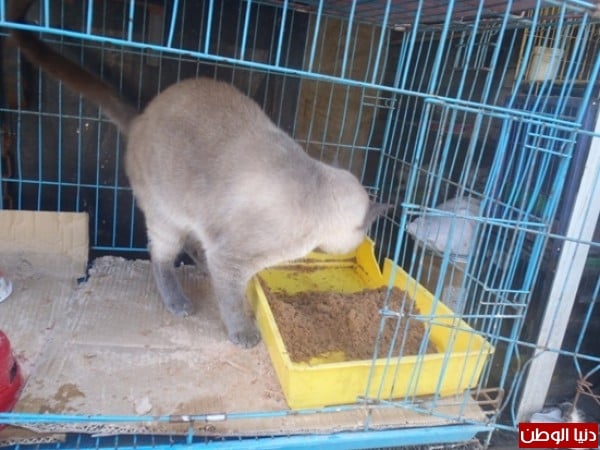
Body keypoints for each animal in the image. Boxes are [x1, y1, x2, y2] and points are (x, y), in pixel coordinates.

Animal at [8, 1, 389, 348]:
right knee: (161, 256)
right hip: (165, 216)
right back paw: (178, 302)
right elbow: (233, 302)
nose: (360, 243)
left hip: (193, 216)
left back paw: (201, 268)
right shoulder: (232, 258)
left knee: (193, 243)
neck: (314, 195)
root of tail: (141, 118)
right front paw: (244, 335)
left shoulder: (226, 251)